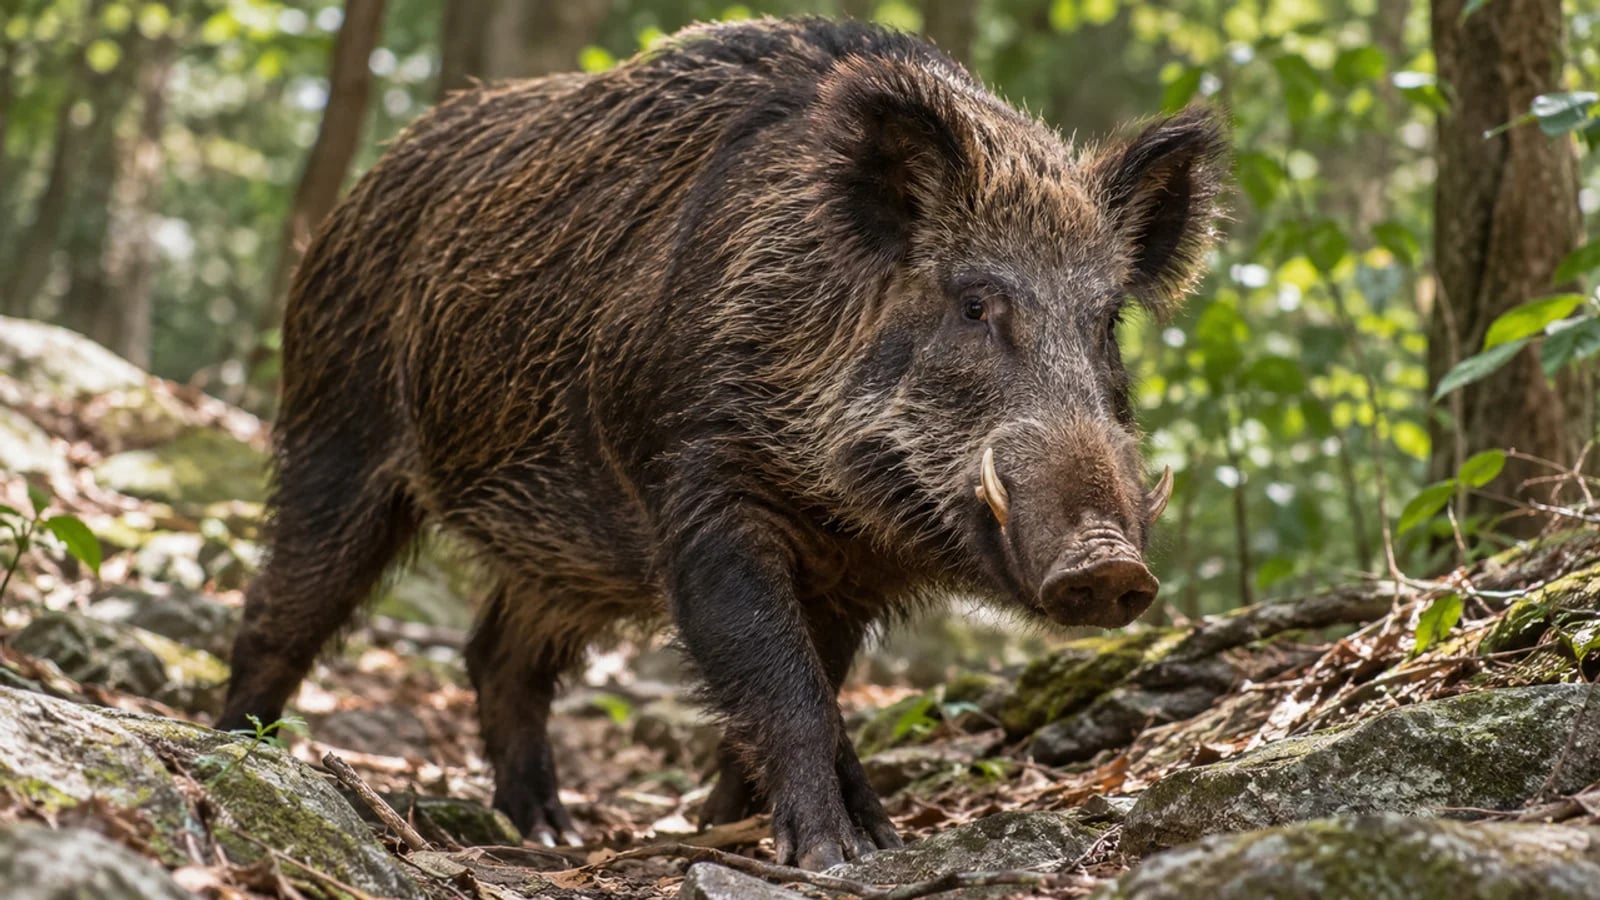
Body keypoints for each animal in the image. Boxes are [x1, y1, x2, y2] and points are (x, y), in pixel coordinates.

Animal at [218, 16, 1226, 870]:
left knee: (496, 653)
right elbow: (784, 685)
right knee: (280, 610)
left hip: (563, 554)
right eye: (976, 303)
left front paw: (816, 836)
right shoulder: (699, 488)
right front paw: (832, 855)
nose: (1109, 566)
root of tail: (355, 200)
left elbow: (816, 687)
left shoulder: (847, 573)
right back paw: (243, 750)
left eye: (1108, 321)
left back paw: (548, 833)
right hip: (334, 429)